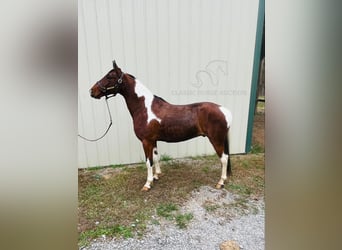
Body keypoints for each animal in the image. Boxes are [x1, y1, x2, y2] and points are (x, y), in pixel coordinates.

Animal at [89, 61, 232, 191]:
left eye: (109, 76)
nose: (91, 91)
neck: (144, 107)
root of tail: (224, 111)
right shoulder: (153, 140)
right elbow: (156, 157)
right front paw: (156, 176)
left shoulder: (146, 141)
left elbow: (148, 162)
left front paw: (147, 184)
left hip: (216, 139)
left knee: (224, 158)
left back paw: (221, 182)